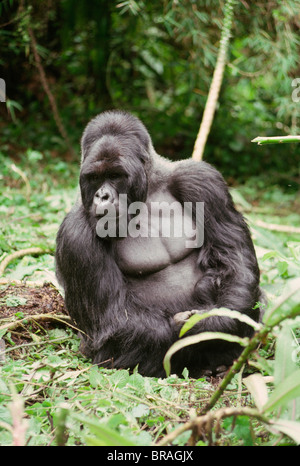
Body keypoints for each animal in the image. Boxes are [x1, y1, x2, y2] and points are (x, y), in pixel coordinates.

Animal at [55, 110, 262, 378]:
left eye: (114, 175)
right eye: (94, 177)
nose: (102, 196)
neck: (146, 193)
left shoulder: (202, 180)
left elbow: (235, 261)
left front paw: (216, 320)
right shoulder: (75, 234)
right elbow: (113, 319)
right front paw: (201, 327)